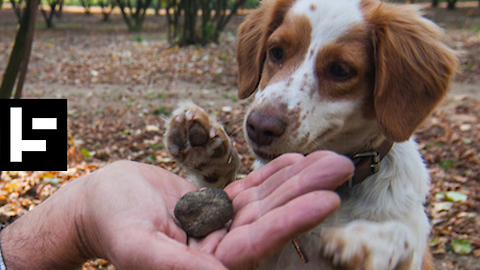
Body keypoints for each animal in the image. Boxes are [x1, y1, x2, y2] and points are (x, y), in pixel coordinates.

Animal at [165, 1, 458, 268]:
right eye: (276, 52)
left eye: (340, 69)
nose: (259, 127)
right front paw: (206, 152)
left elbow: (405, 235)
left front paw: (362, 241)